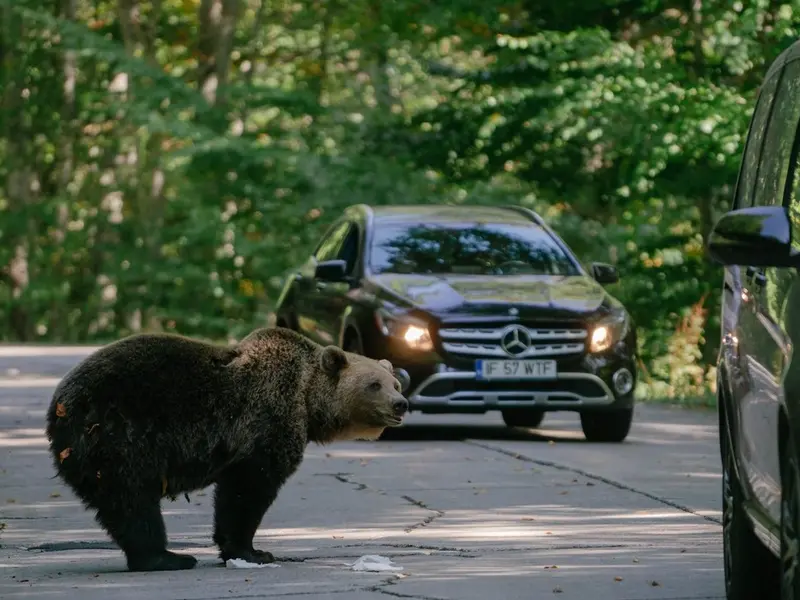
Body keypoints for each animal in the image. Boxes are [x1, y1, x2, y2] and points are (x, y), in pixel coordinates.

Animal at [44, 328, 410, 572]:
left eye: (395, 382)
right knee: (133, 500)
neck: (307, 400)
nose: (401, 403)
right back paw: (167, 557)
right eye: (374, 384)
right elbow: (248, 489)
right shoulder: (265, 422)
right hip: (118, 434)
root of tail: (59, 404)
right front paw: (253, 551)